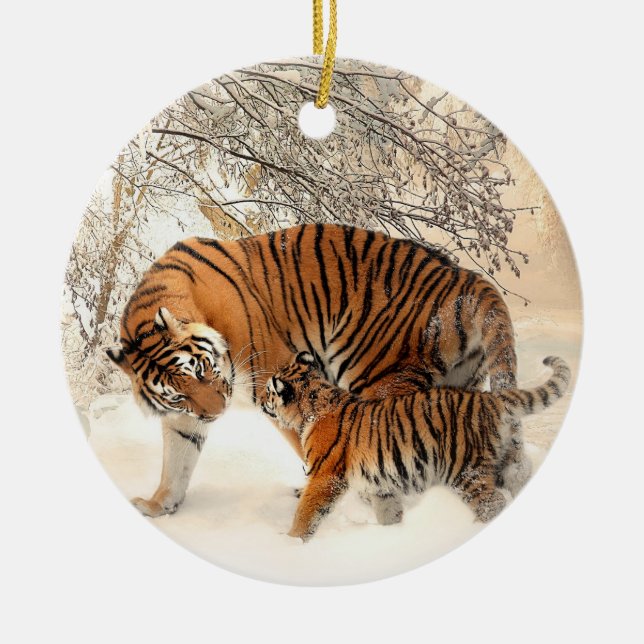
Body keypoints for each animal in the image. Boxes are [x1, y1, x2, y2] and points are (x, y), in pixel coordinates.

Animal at [106, 224, 525, 518]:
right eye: (178, 394)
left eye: (203, 369)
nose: (217, 413)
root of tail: (468, 278)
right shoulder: (184, 416)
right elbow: (177, 460)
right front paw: (159, 505)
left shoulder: (276, 379)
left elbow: (311, 445)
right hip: (459, 387)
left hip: (378, 377)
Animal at [260, 352, 570, 541]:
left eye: (268, 391)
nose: (261, 401)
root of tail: (490, 399)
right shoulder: (381, 484)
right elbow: (388, 511)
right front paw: (393, 534)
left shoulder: (325, 477)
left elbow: (306, 513)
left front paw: (291, 543)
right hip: (506, 462)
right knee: (519, 478)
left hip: (465, 471)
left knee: (492, 503)